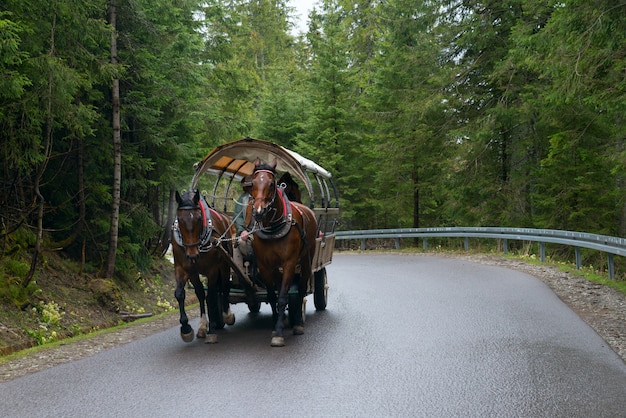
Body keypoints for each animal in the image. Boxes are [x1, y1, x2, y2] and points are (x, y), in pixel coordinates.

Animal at [171, 189, 234, 342]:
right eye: (179, 220)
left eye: (199, 219)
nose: (192, 255)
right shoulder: (184, 269)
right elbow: (182, 294)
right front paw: (187, 328)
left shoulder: (212, 270)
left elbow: (210, 297)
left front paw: (211, 329)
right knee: (203, 293)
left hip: (225, 264)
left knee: (225, 287)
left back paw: (227, 315)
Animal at [249, 158, 316, 344]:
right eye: (253, 183)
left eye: (272, 184)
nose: (259, 212)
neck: (273, 228)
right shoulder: (265, 266)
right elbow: (273, 296)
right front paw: (275, 323)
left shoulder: (289, 264)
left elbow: (283, 296)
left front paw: (279, 331)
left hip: (307, 260)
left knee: (301, 288)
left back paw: (298, 322)